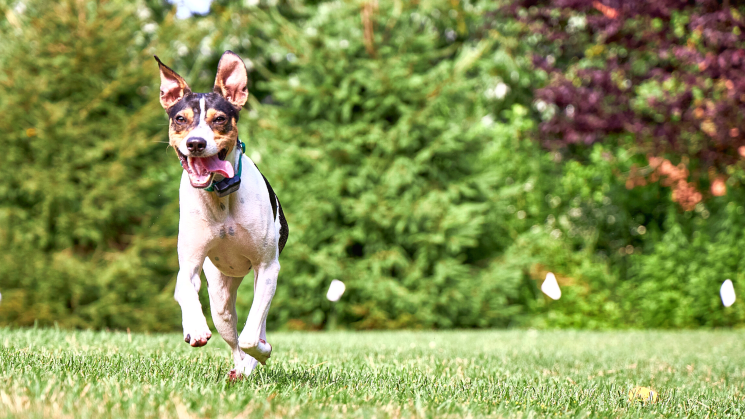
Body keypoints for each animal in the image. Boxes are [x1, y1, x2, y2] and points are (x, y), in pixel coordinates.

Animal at [155, 50, 288, 378]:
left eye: (220, 118)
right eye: (180, 119)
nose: (196, 143)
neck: (220, 197)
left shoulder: (268, 267)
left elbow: (253, 336)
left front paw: (262, 351)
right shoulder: (189, 263)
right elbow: (185, 288)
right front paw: (194, 328)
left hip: (258, 279)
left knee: (252, 329)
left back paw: (250, 362)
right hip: (220, 298)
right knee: (230, 332)